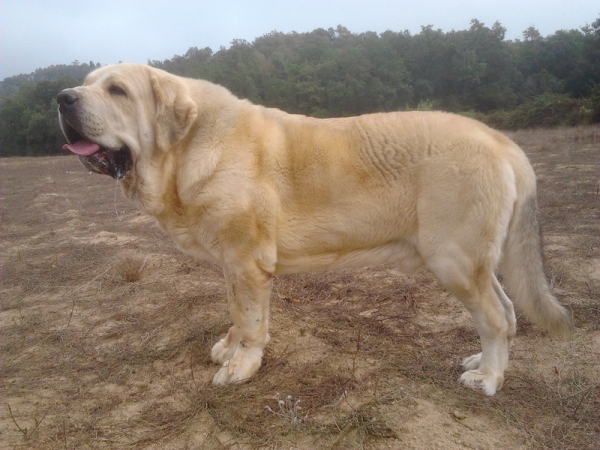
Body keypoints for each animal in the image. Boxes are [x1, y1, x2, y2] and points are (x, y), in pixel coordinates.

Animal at [57, 62, 572, 394]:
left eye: (118, 90)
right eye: (86, 84)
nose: (62, 98)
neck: (189, 147)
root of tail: (502, 142)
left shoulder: (248, 262)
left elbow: (252, 321)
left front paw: (242, 366)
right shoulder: (232, 264)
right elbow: (236, 314)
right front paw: (230, 348)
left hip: (455, 261)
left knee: (497, 317)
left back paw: (488, 378)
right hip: (473, 263)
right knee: (506, 312)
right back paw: (482, 361)